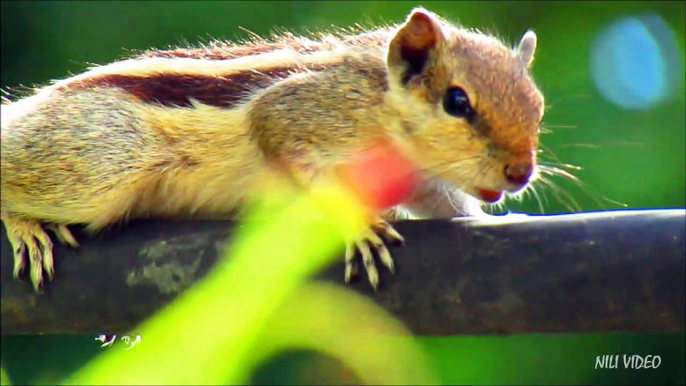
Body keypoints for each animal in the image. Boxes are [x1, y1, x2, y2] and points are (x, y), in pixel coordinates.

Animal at [1, 7, 548, 292]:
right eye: (457, 102)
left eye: (537, 105)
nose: (520, 172)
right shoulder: (298, 114)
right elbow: (281, 140)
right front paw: (360, 224)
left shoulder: (426, 185)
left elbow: (450, 207)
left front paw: (504, 219)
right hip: (102, 164)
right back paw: (26, 228)